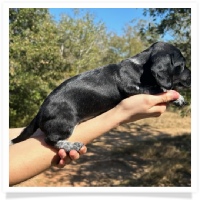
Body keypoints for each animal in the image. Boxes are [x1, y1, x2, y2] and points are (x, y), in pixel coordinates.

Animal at [10, 41, 191, 152]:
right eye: (181, 66)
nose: (191, 74)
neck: (140, 67)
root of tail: (40, 112)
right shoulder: (132, 87)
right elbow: (156, 88)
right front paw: (177, 96)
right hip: (66, 122)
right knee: (50, 140)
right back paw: (70, 145)